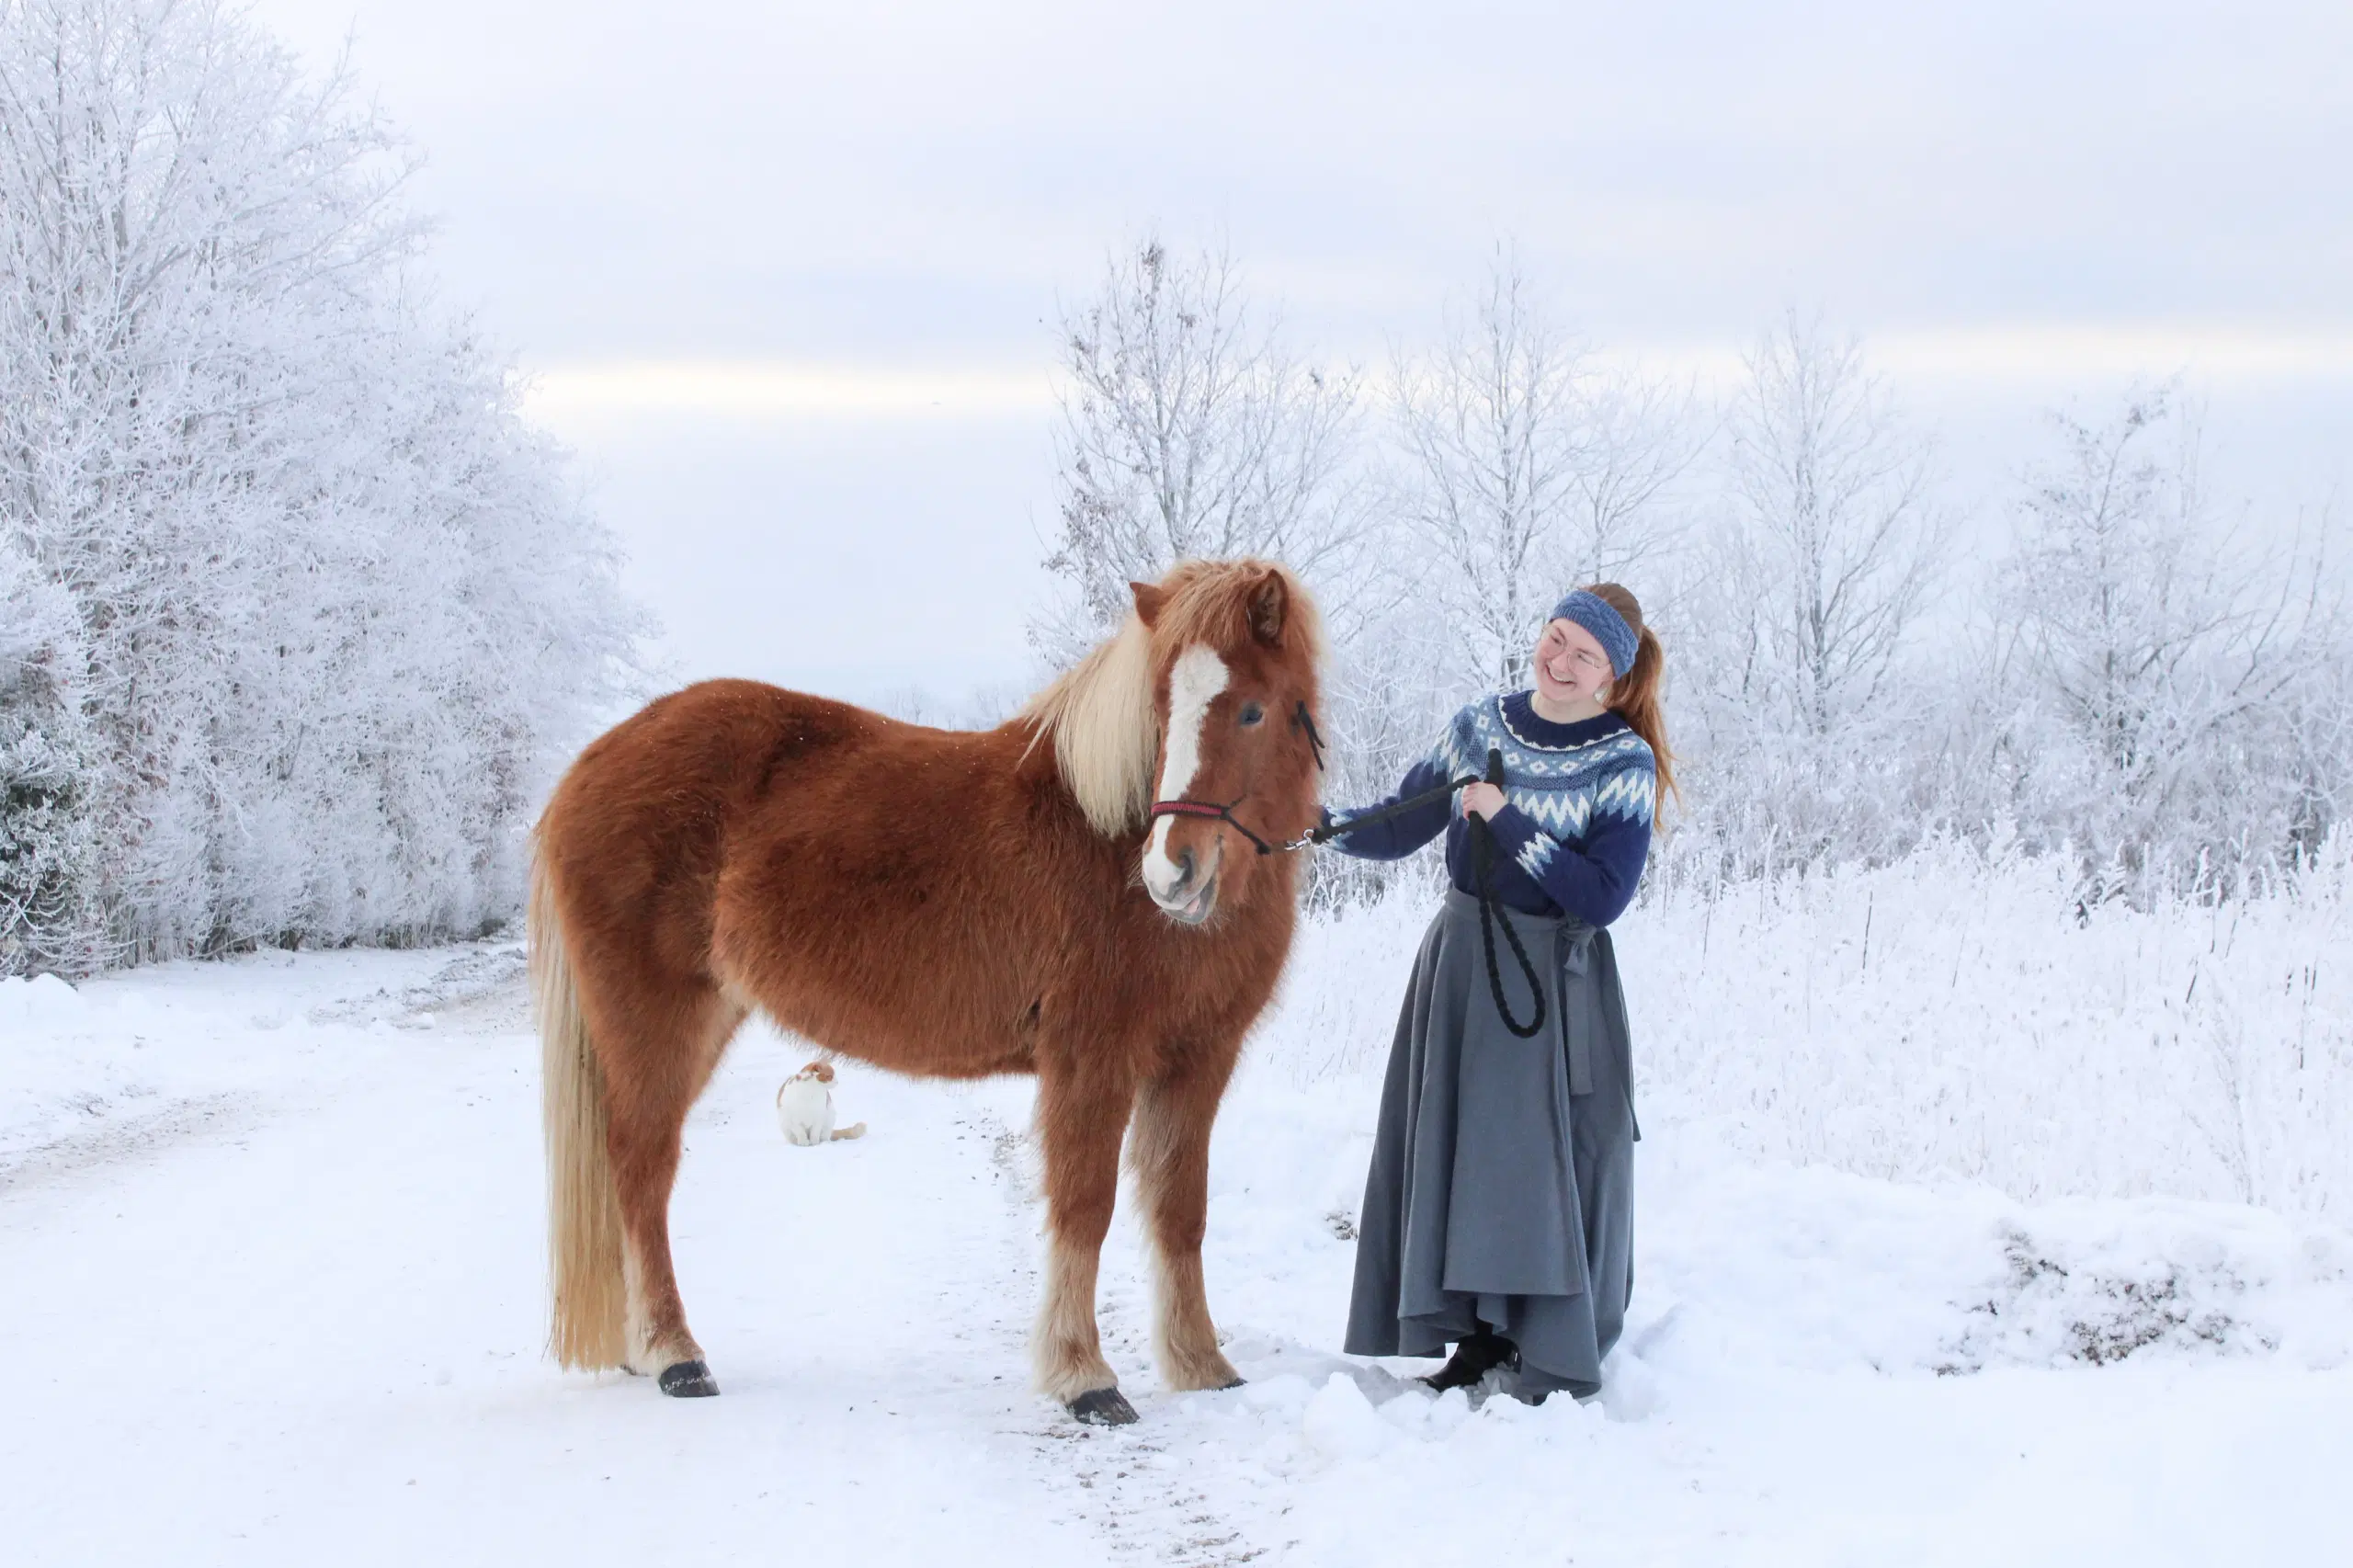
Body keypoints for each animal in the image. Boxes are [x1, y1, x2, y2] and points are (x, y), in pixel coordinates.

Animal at [536, 558, 1336, 1412]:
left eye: (1253, 710)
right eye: (1161, 705)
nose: (1170, 872)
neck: (1100, 831)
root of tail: (584, 770)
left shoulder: (1198, 1060)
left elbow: (1181, 1213)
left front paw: (1200, 1365)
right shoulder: (1091, 1060)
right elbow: (1084, 1207)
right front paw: (1084, 1377)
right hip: (655, 1025)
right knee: (641, 1173)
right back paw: (675, 1356)